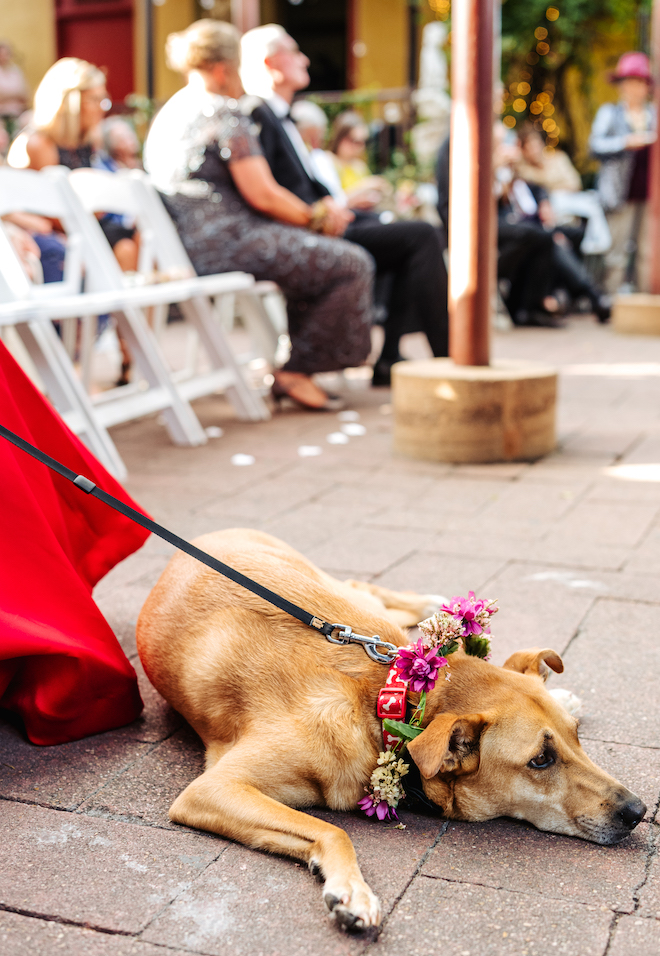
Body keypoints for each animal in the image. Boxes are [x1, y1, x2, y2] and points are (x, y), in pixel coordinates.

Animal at [137, 528, 648, 928]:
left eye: (577, 738)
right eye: (540, 760)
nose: (638, 811)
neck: (383, 701)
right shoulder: (213, 788)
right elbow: (333, 830)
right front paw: (351, 891)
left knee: (365, 589)